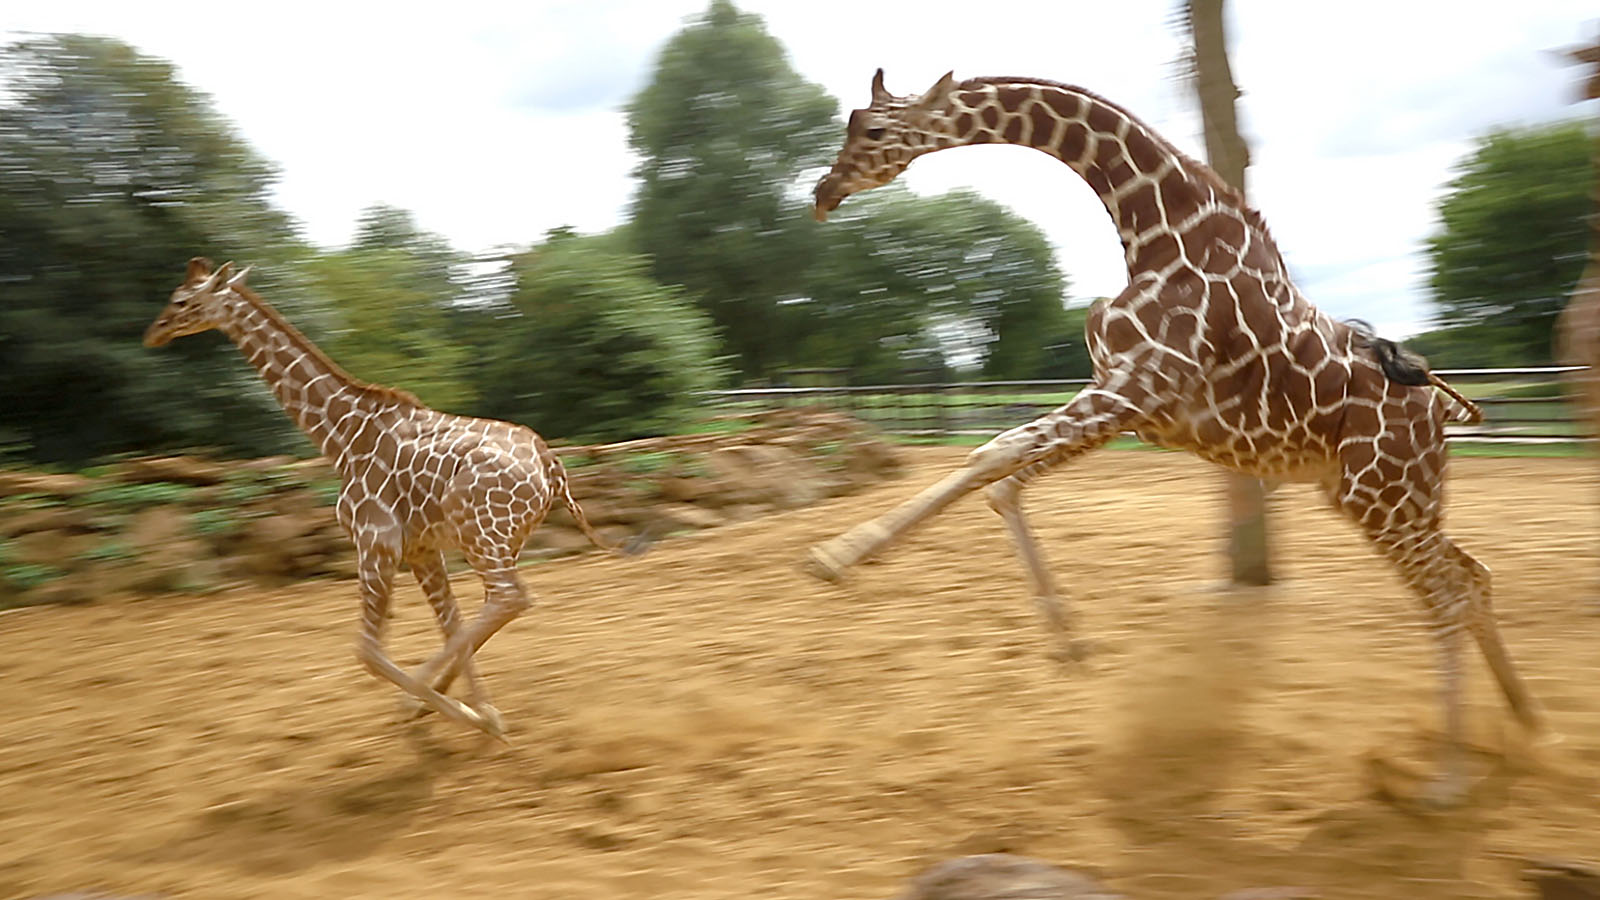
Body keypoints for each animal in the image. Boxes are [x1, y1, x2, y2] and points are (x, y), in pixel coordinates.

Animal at [144, 257, 623, 738]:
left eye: (181, 300)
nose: (154, 332)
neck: (340, 439)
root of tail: (549, 462)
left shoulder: (376, 542)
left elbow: (367, 651)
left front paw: (452, 711)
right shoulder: (420, 549)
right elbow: (449, 621)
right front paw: (475, 709)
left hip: (481, 533)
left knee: (510, 597)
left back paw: (436, 704)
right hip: (500, 539)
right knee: (496, 602)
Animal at [805, 70, 1544, 804]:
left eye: (874, 129)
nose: (823, 191)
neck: (1158, 233)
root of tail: (1441, 411)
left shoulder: (1135, 388)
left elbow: (994, 453)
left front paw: (836, 555)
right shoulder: (1133, 405)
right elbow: (1007, 481)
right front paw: (1067, 640)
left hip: (1381, 497)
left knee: (1448, 595)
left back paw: (1448, 779)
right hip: (1385, 499)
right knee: (1472, 576)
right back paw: (1523, 724)